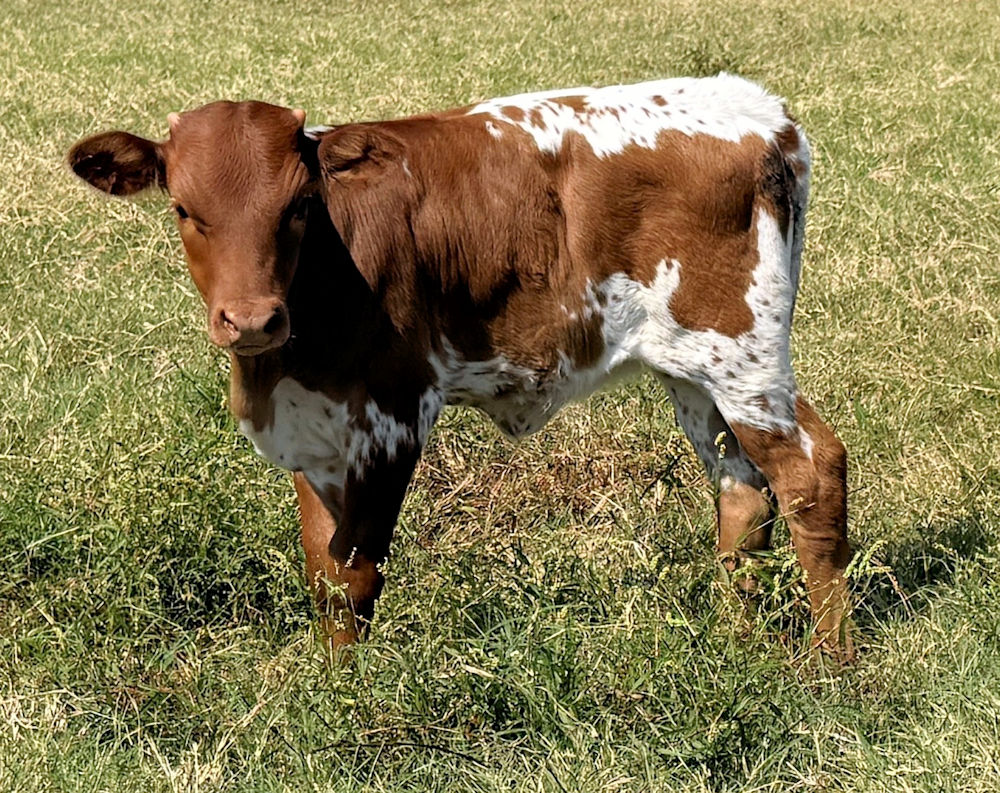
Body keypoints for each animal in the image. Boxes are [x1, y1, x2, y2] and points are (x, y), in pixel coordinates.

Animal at [68, 73, 853, 660]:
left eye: (298, 205)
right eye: (182, 208)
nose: (254, 319)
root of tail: (763, 113)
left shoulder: (394, 412)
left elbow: (357, 571)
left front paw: (352, 704)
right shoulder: (313, 433)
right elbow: (323, 573)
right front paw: (326, 683)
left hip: (744, 352)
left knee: (811, 472)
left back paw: (828, 664)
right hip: (693, 367)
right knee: (742, 489)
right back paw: (735, 642)